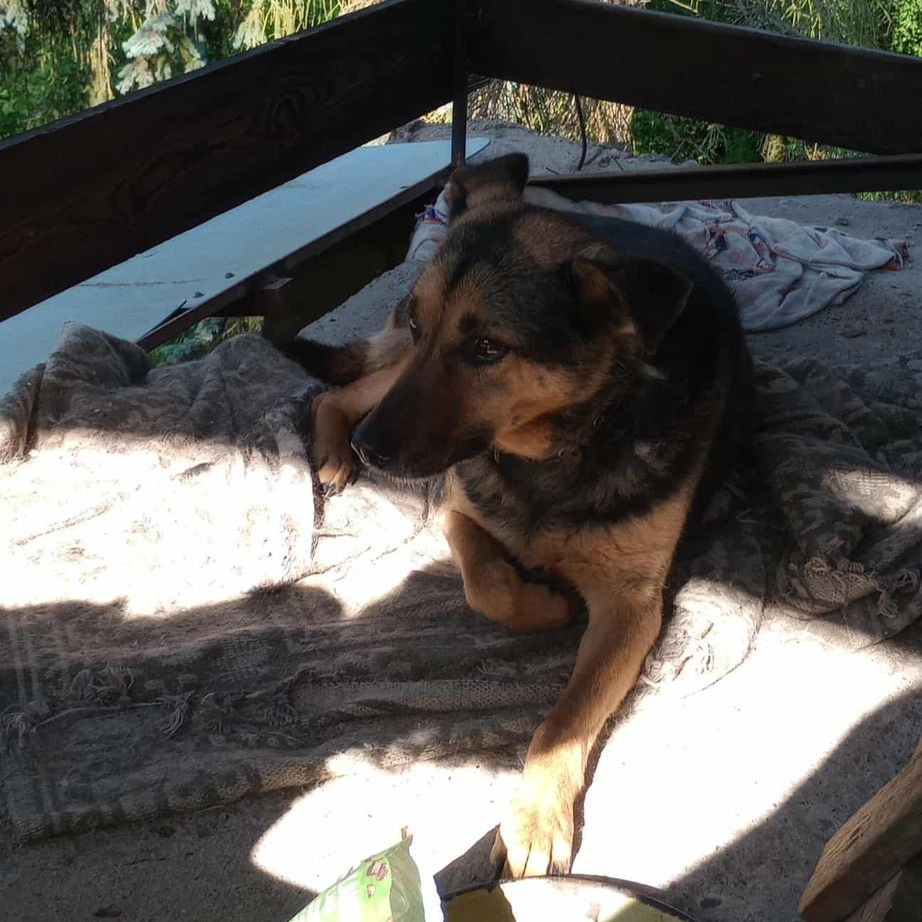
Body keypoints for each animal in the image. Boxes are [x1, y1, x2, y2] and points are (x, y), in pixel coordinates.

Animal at [282, 153, 752, 877]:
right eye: (420, 325)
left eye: (486, 348)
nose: (371, 449)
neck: (557, 447)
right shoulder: (457, 506)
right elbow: (488, 585)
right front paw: (544, 605)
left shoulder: (631, 606)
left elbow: (564, 717)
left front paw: (535, 816)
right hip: (388, 385)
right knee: (340, 391)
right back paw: (331, 452)